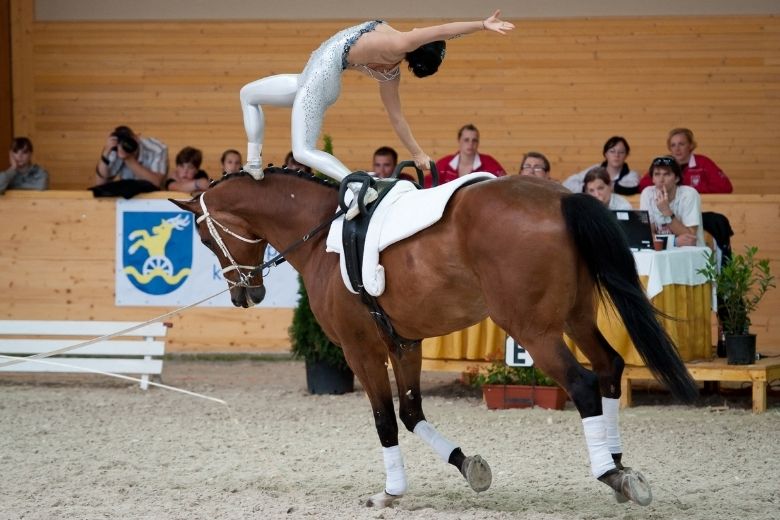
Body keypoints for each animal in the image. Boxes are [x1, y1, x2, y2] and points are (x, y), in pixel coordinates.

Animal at [169, 170, 696, 508]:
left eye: (204, 237)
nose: (245, 294)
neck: (323, 237)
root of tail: (559, 198)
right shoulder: (404, 343)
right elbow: (410, 412)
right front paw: (469, 466)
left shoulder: (362, 350)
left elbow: (384, 419)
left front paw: (390, 492)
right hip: (577, 316)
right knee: (609, 369)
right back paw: (618, 463)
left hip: (534, 329)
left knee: (583, 383)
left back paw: (608, 472)